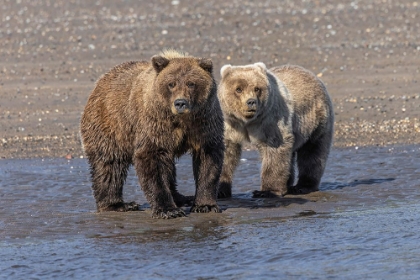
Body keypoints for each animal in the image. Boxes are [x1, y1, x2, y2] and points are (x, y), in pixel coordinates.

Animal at [79, 50, 223, 219]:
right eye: (171, 84)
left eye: (191, 83)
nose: (180, 103)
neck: (182, 119)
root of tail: (100, 82)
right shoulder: (155, 122)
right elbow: (152, 160)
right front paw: (168, 210)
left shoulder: (204, 122)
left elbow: (208, 158)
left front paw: (205, 205)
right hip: (111, 124)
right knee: (110, 163)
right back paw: (118, 204)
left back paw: (181, 198)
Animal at [218, 63, 334, 199]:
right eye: (238, 89)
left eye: (257, 88)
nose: (251, 101)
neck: (246, 121)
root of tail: (313, 76)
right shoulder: (229, 123)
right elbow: (225, 152)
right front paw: (220, 190)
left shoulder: (270, 119)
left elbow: (275, 150)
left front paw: (266, 191)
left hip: (316, 121)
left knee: (312, 153)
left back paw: (303, 186)